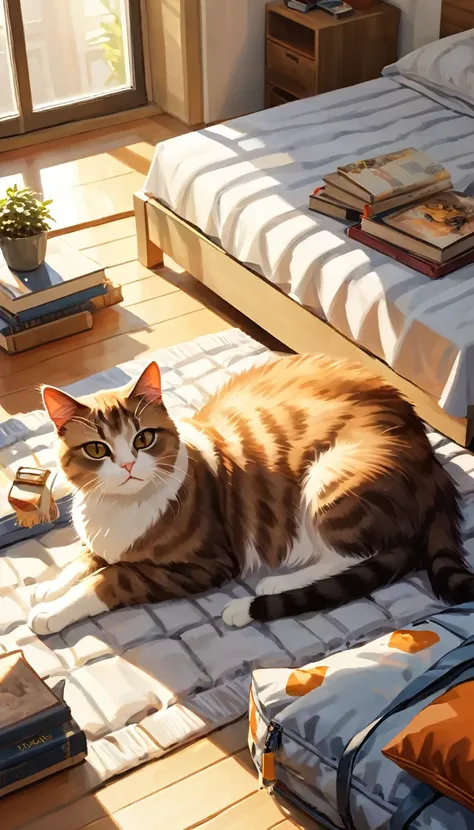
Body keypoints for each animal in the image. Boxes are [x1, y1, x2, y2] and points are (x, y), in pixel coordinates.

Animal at [28, 352, 474, 636]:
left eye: (144, 438)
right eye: (97, 449)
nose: (127, 467)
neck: (118, 511)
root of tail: (431, 461)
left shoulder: (203, 564)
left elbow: (112, 577)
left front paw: (52, 612)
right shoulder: (101, 539)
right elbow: (84, 559)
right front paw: (50, 588)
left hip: (330, 478)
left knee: (359, 553)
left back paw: (276, 586)